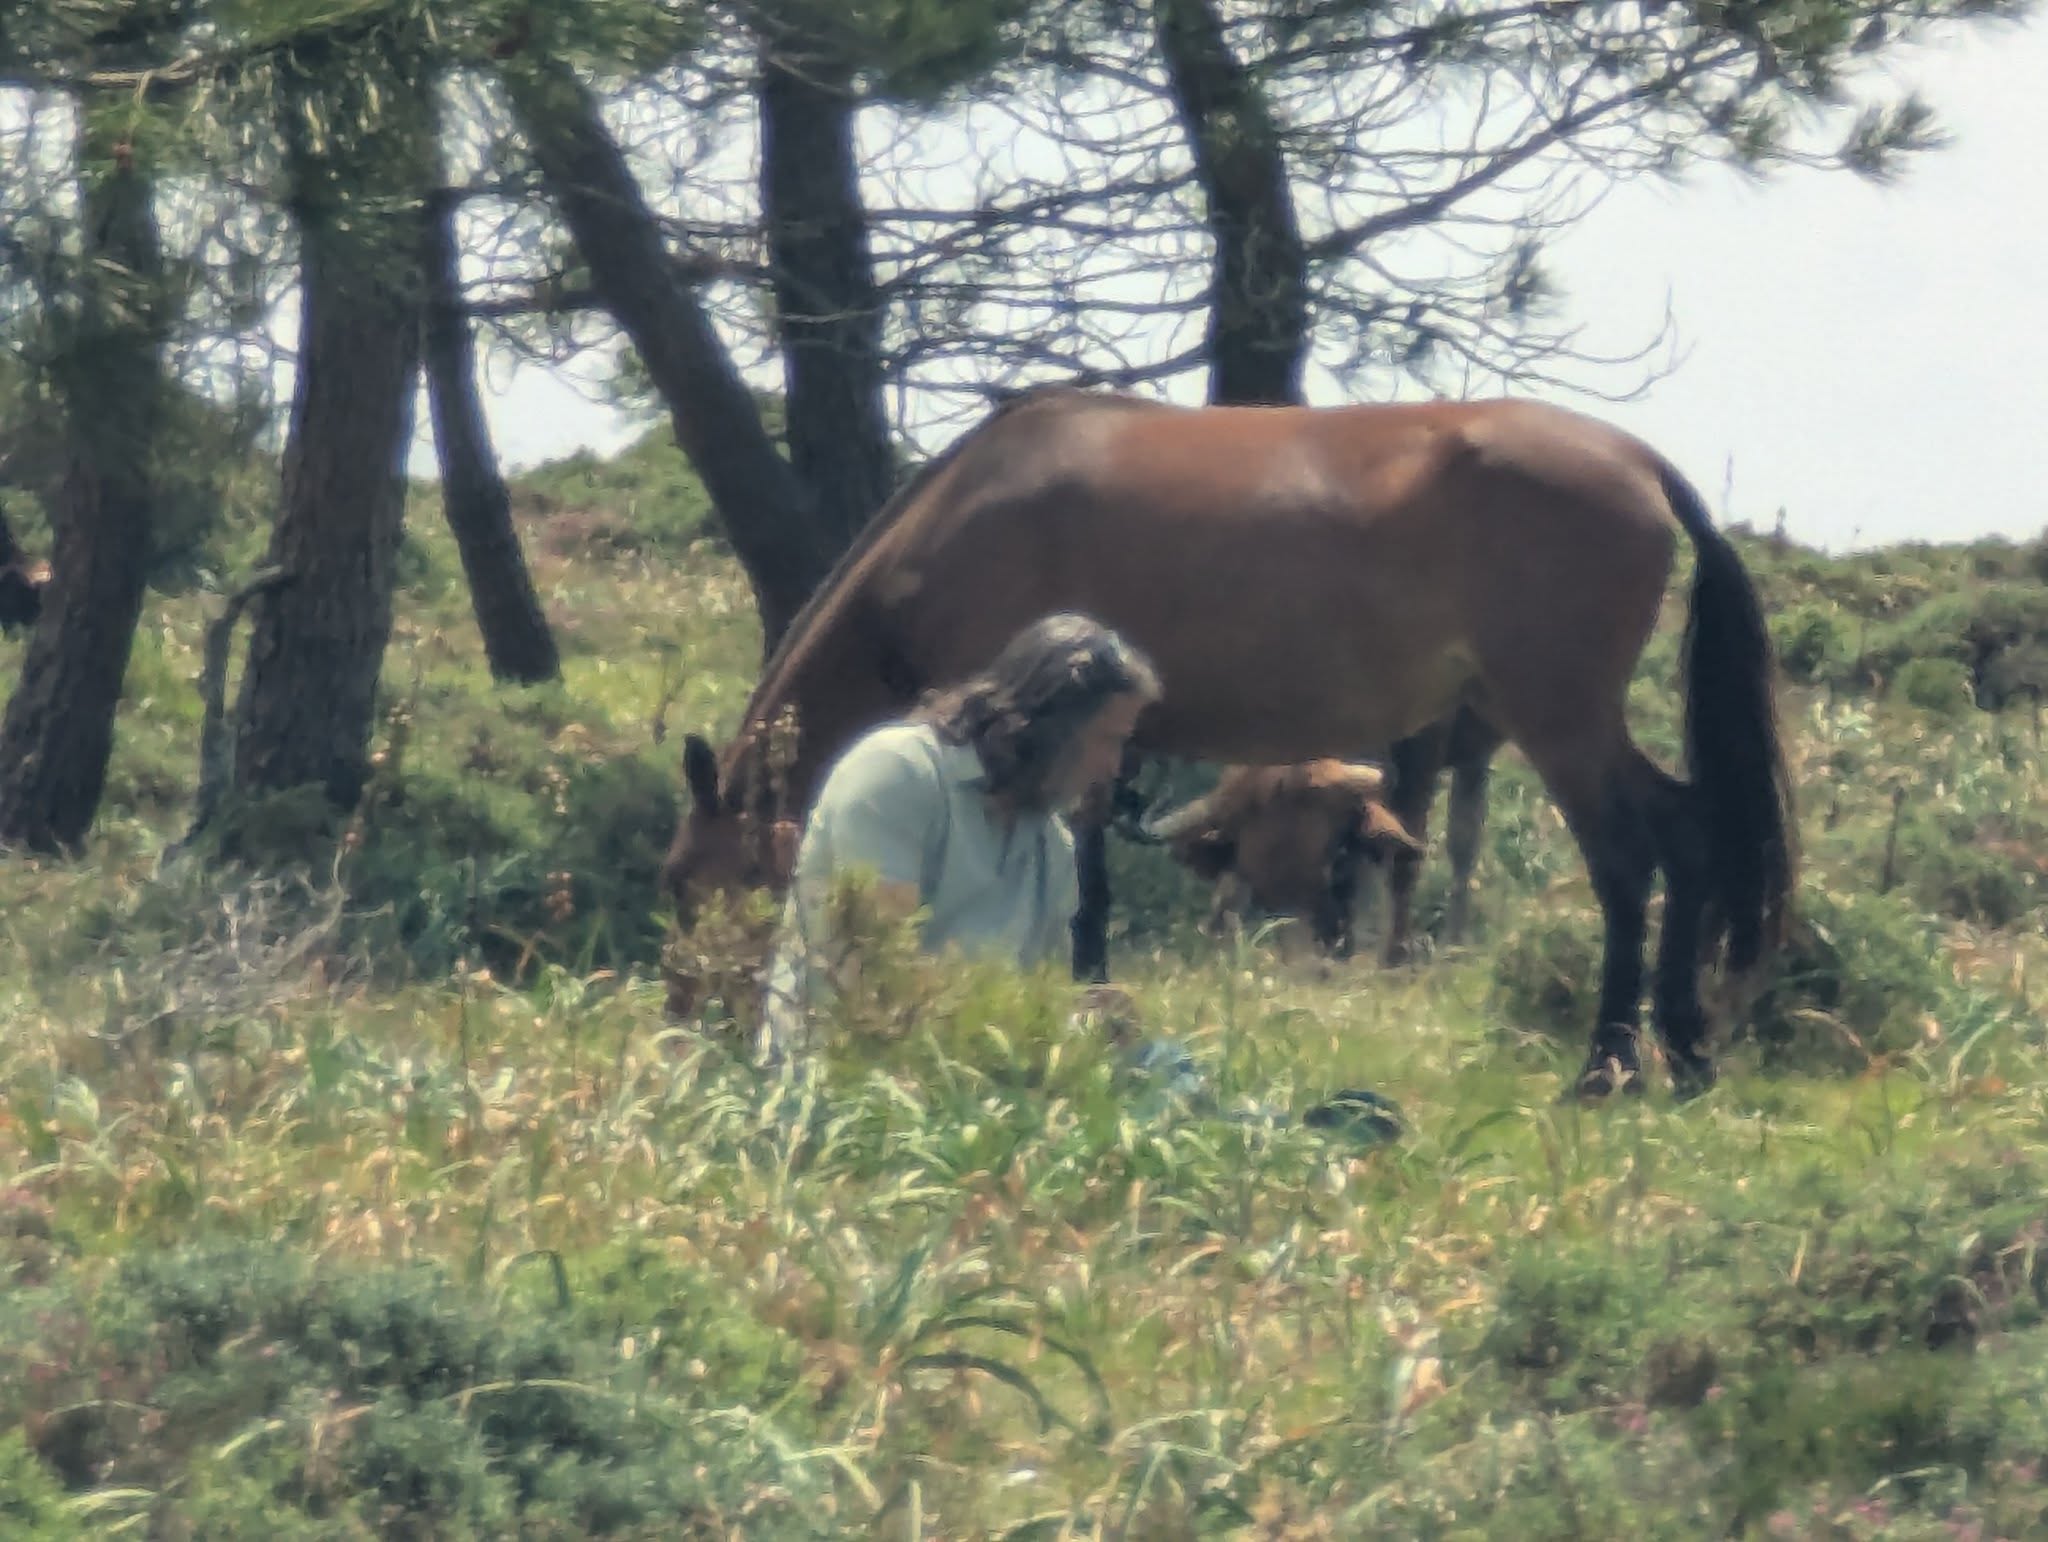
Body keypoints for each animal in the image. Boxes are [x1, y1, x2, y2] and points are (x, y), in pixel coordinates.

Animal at [661, 386, 1796, 1099]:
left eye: (688, 881)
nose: (682, 1025)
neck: (967, 517)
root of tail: (1637, 462)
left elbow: (1087, 907)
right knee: (1689, 834)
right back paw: (1682, 1049)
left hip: (1555, 717)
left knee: (1631, 860)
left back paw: (1606, 1066)